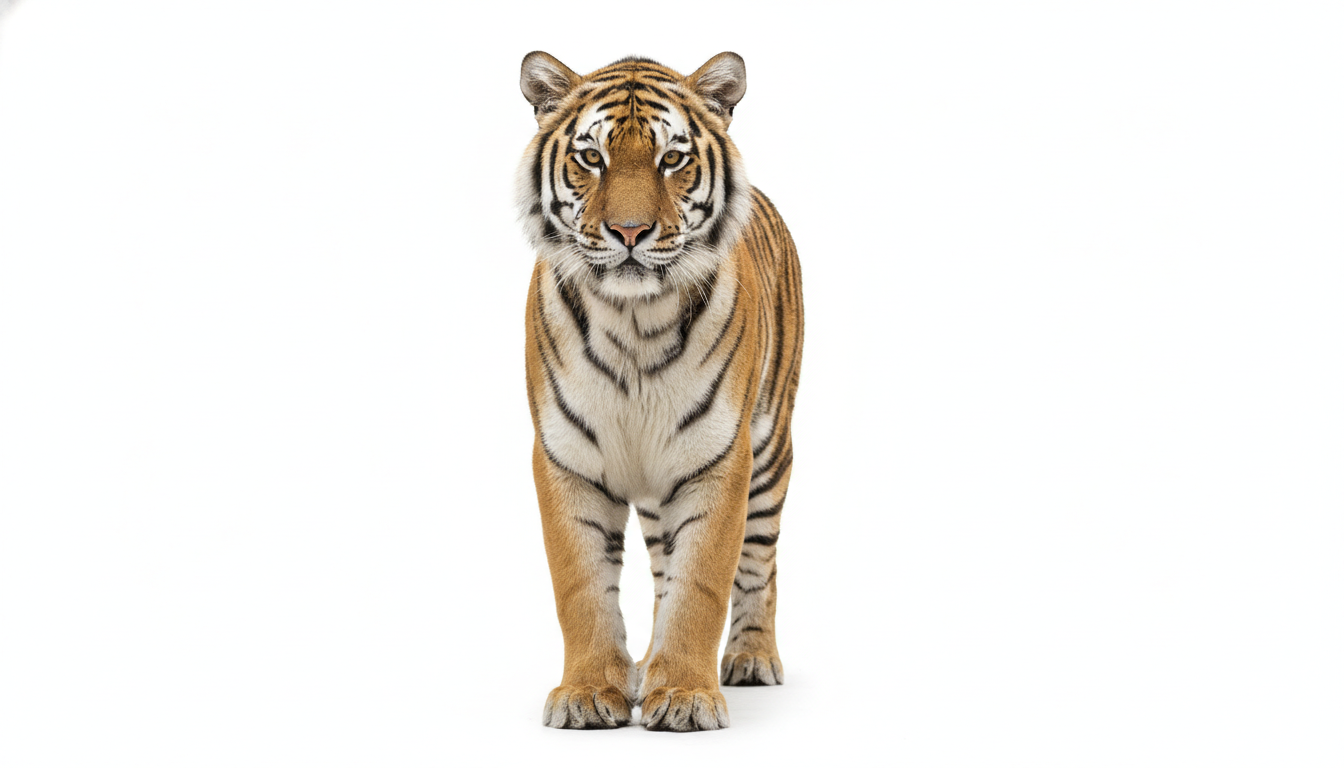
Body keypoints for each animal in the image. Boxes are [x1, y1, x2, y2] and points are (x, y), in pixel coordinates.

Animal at [517, 51, 803, 732]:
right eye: (591, 157)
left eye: (672, 158)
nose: (629, 231)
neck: (634, 321)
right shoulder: (565, 457)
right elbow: (581, 587)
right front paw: (590, 691)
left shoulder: (720, 459)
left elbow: (701, 585)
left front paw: (688, 696)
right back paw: (645, 665)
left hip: (771, 454)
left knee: (760, 564)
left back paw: (750, 658)